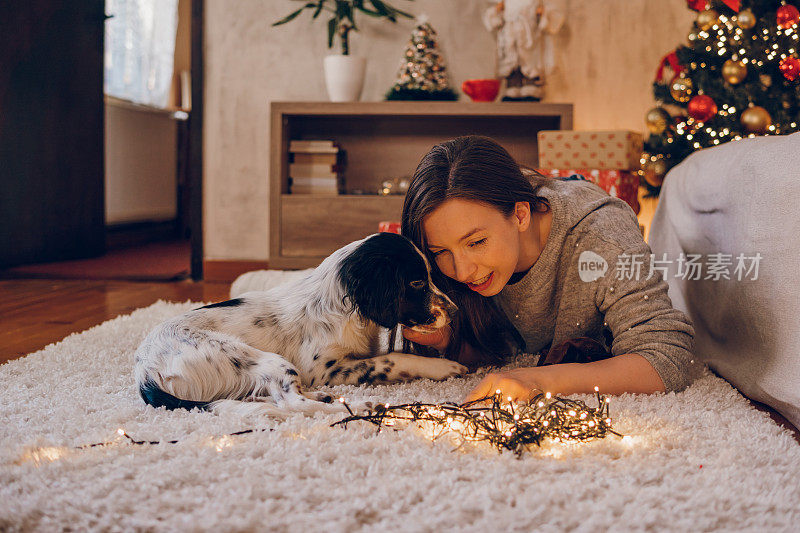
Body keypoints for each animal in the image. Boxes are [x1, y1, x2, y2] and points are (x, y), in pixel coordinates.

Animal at [134, 233, 466, 416]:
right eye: (416, 282)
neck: (342, 308)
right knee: (291, 403)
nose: (455, 311)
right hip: (256, 357)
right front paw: (445, 366)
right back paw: (359, 407)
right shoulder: (325, 369)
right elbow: (392, 358)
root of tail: (145, 372)